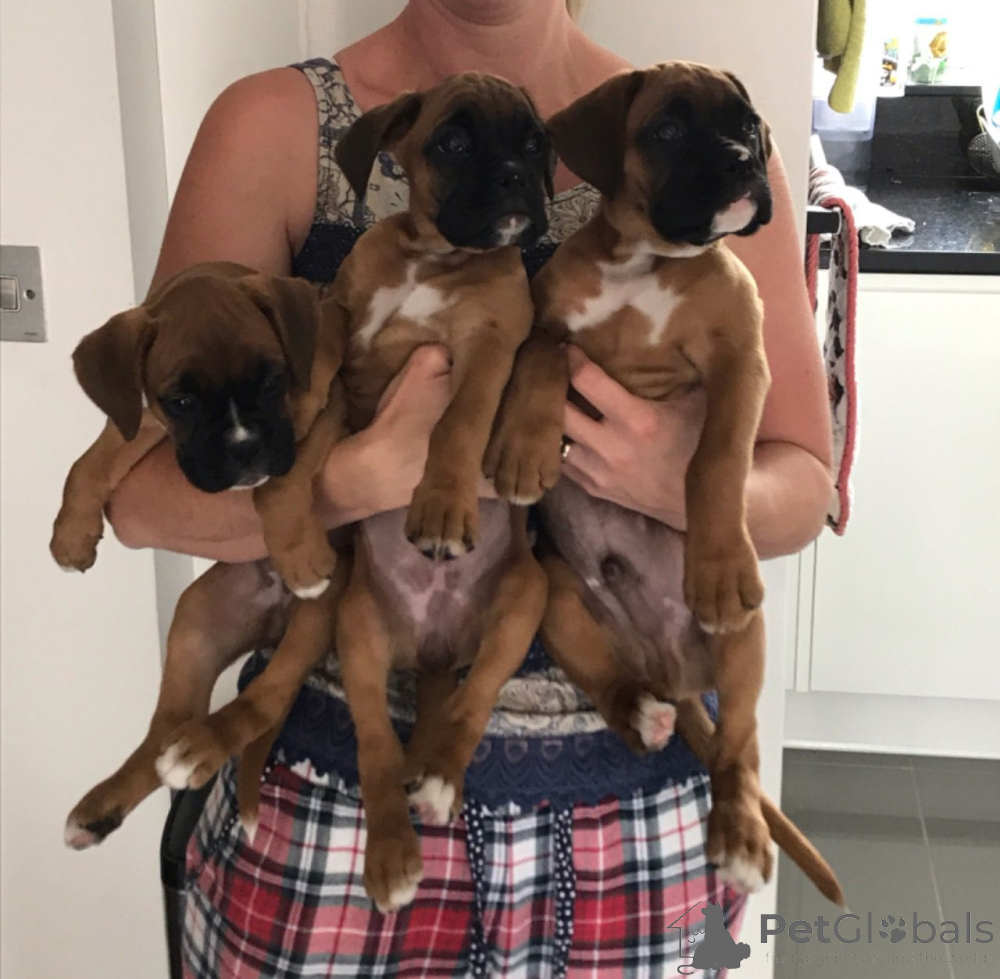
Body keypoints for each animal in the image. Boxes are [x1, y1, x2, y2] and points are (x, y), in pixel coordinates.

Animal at [57, 262, 350, 847]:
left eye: (272, 380)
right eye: (184, 402)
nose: (245, 449)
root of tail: (273, 624)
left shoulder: (327, 409)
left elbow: (277, 486)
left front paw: (300, 558)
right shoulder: (144, 420)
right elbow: (92, 460)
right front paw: (71, 533)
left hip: (315, 619)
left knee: (264, 700)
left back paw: (198, 751)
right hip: (195, 626)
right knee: (161, 735)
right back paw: (101, 808)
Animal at [486, 62, 845, 906]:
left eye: (747, 125)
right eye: (670, 130)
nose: (746, 162)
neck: (646, 260)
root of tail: (671, 672)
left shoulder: (741, 365)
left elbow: (714, 462)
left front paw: (715, 565)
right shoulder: (547, 328)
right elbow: (539, 364)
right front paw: (523, 449)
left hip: (745, 645)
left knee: (740, 748)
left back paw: (739, 834)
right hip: (560, 596)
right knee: (616, 687)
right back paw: (642, 714)